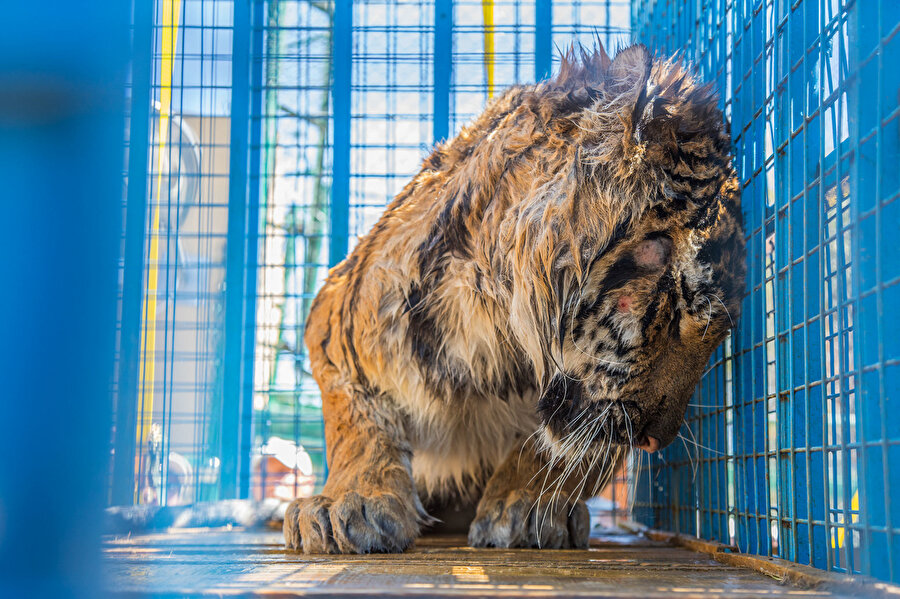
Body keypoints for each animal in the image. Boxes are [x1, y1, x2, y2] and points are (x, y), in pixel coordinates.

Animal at [286, 44, 744, 556]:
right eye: (675, 311)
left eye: (717, 336)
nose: (655, 440)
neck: (491, 322)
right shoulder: (335, 322)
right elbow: (358, 426)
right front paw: (347, 504)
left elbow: (561, 448)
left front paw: (527, 509)